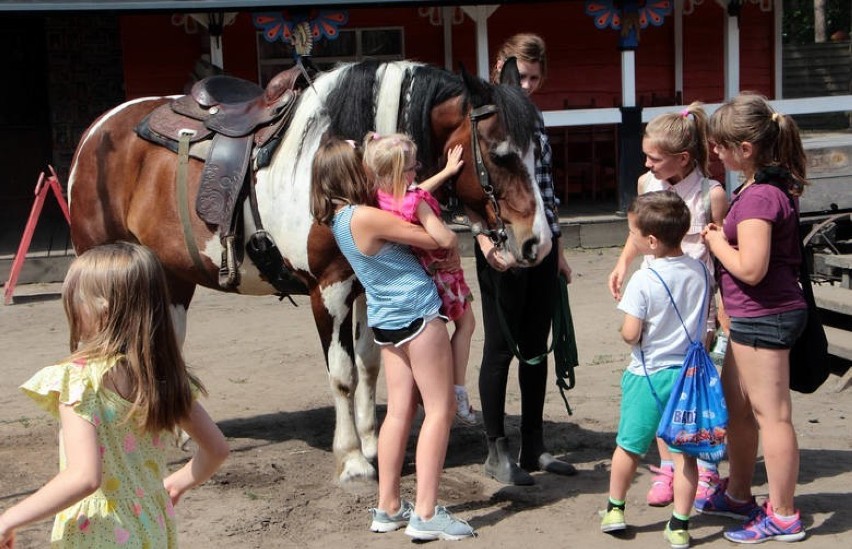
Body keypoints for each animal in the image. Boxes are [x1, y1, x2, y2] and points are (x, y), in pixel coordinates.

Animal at [66, 58, 548, 480]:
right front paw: (352, 459)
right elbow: (342, 374)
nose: (536, 242)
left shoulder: (366, 284)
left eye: (539, 150)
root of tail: (96, 130)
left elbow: (369, 363)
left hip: (173, 276)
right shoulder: (329, 288)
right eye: (501, 154)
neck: (341, 167)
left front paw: (373, 443)